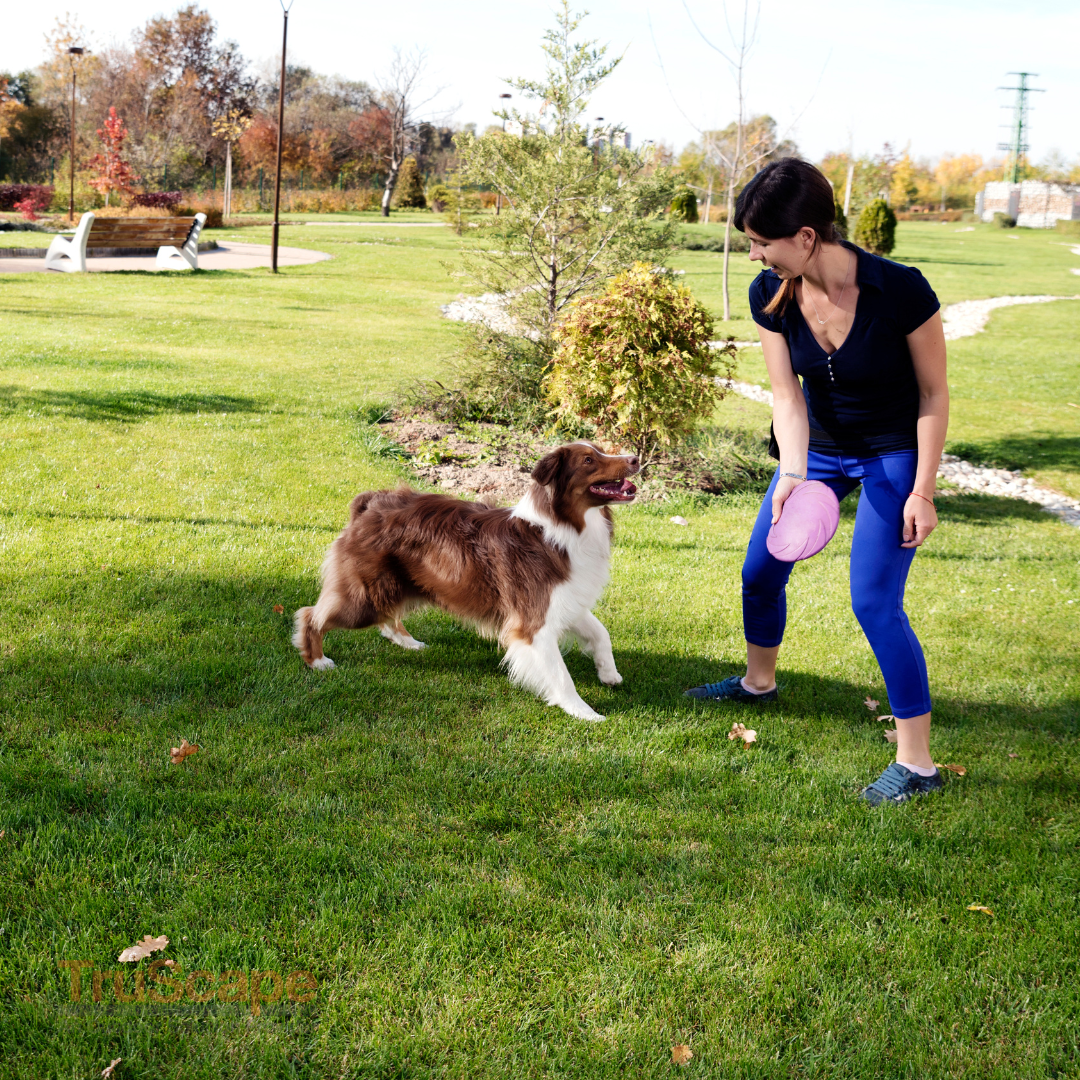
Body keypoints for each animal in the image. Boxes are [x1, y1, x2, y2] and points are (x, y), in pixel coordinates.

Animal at [291, 442, 635, 721]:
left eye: (602, 450)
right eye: (589, 460)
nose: (635, 458)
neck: (564, 528)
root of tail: (369, 503)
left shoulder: (566, 600)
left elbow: (601, 632)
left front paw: (609, 673)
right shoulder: (533, 621)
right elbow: (561, 675)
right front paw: (584, 712)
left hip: (397, 586)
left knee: (387, 618)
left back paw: (408, 642)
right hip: (365, 597)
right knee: (311, 614)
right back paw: (317, 661)